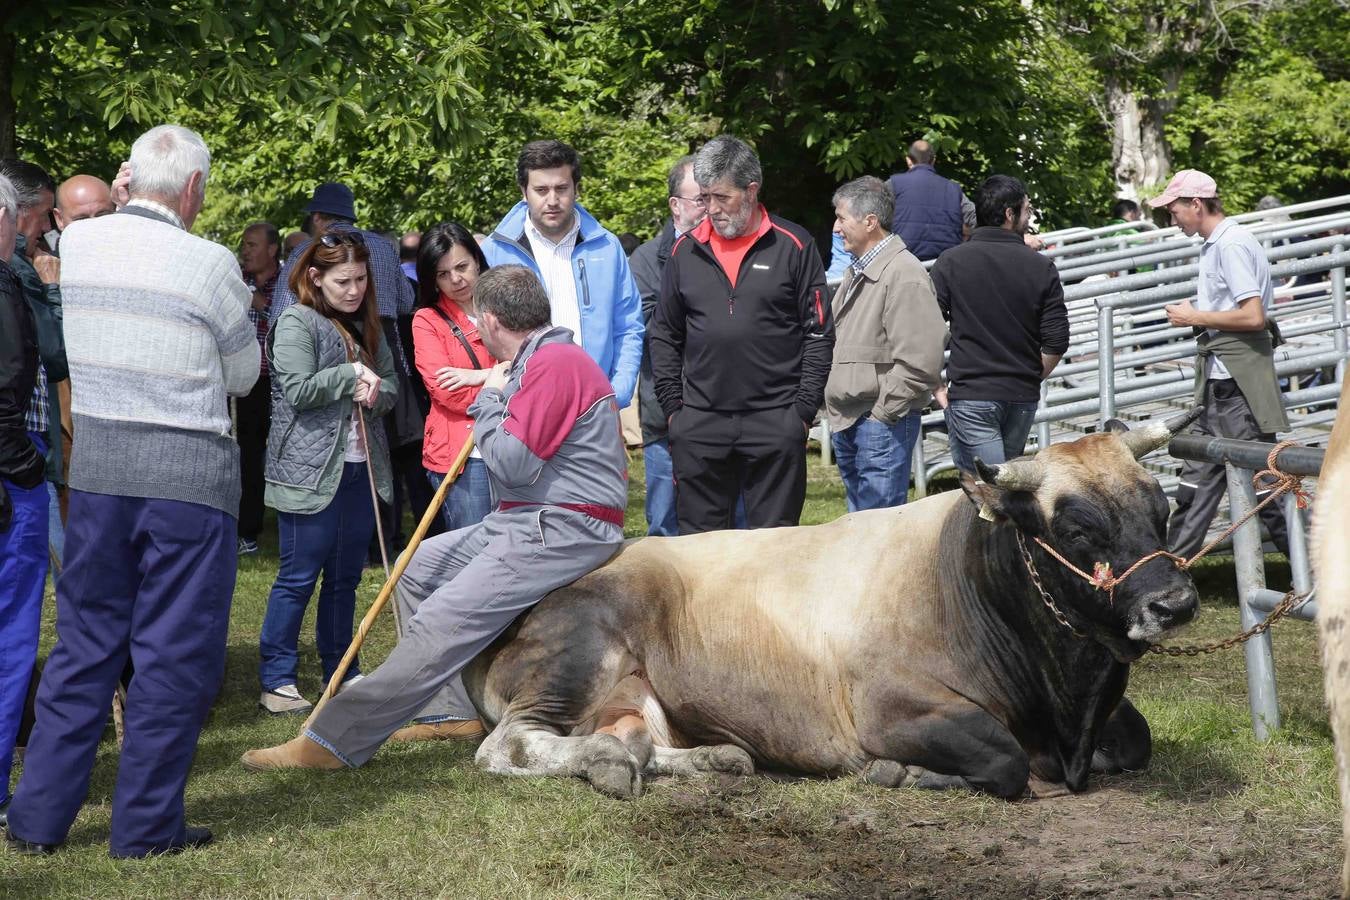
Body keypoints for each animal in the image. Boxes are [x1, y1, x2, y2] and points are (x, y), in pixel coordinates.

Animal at [464, 412, 1204, 798]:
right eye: (1077, 527)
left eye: (1162, 508)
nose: (1174, 603)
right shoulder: (892, 708)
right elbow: (1003, 760)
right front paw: (901, 773)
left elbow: (1135, 740)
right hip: (576, 658)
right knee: (511, 746)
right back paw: (604, 764)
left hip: (636, 700)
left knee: (639, 740)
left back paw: (710, 760)